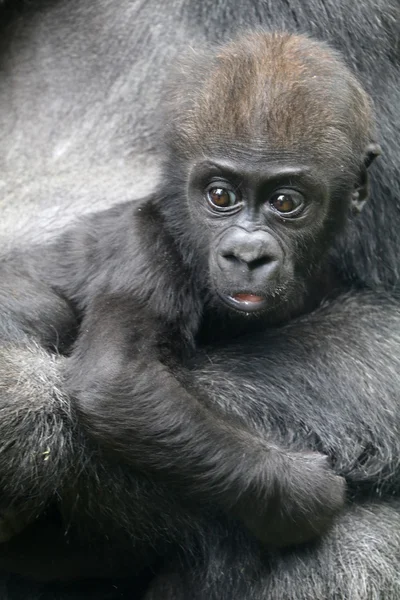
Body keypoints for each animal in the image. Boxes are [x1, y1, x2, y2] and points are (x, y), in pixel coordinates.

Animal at [0, 1, 398, 600]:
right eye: (220, 195)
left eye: (286, 203)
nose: (248, 254)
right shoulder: (146, 248)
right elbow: (118, 380)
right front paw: (296, 490)